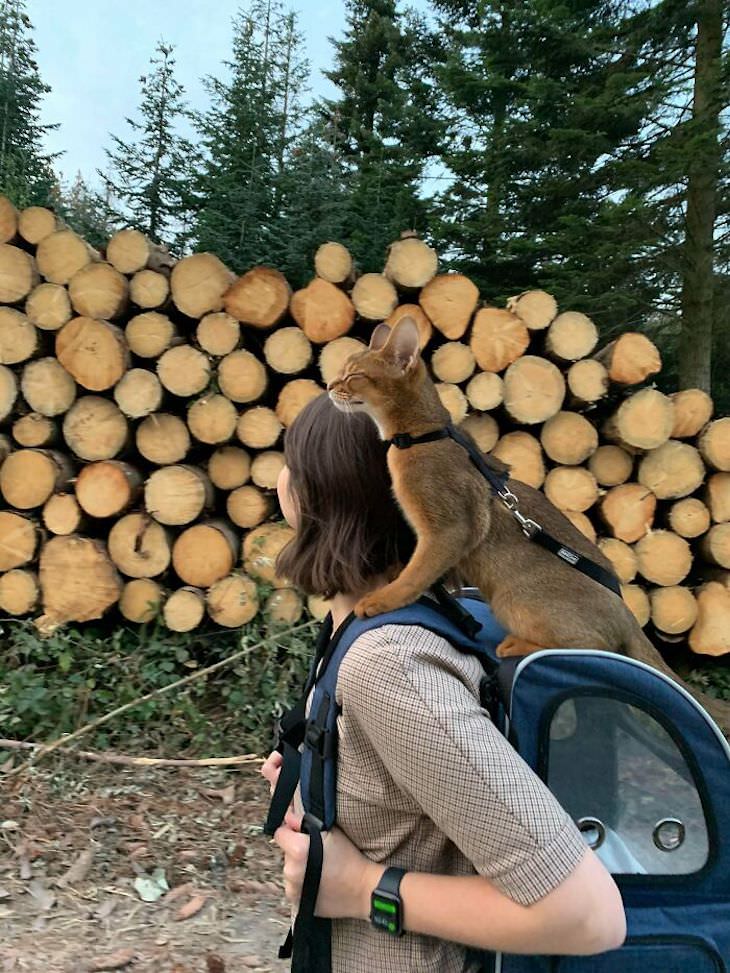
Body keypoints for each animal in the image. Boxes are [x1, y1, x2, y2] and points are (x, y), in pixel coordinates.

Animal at [328, 316, 728, 732]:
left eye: (354, 375)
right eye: (341, 372)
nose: (329, 386)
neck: (423, 435)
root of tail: (627, 613)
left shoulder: (449, 528)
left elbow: (416, 574)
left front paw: (382, 600)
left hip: (513, 598)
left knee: (601, 649)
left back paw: (517, 644)